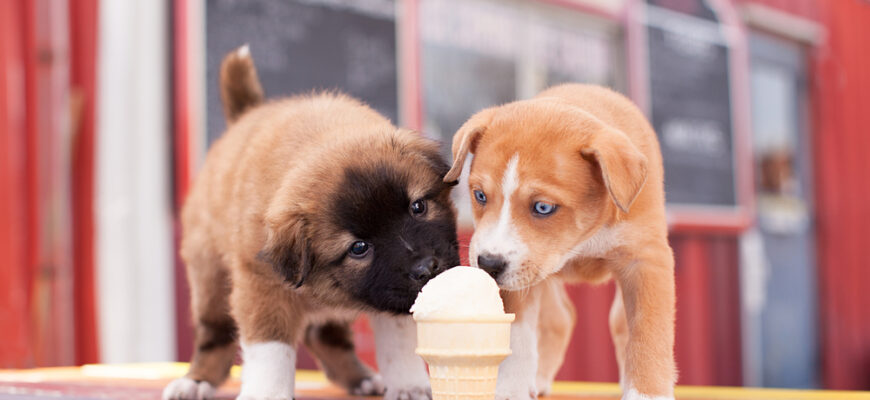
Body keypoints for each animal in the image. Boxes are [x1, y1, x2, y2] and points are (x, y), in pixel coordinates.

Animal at [165, 46, 464, 400]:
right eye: (359, 247)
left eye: (418, 207)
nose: (427, 268)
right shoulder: (262, 288)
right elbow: (270, 349)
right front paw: (268, 393)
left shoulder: (395, 294)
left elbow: (399, 342)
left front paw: (408, 386)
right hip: (209, 278)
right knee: (216, 336)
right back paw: (196, 381)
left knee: (324, 336)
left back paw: (360, 378)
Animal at [446, 83, 676, 400]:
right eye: (480, 195)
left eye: (543, 207)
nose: (488, 264)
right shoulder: (520, 278)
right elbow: (518, 336)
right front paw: (510, 389)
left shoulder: (647, 261)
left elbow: (648, 332)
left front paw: (647, 394)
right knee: (559, 319)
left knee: (618, 323)